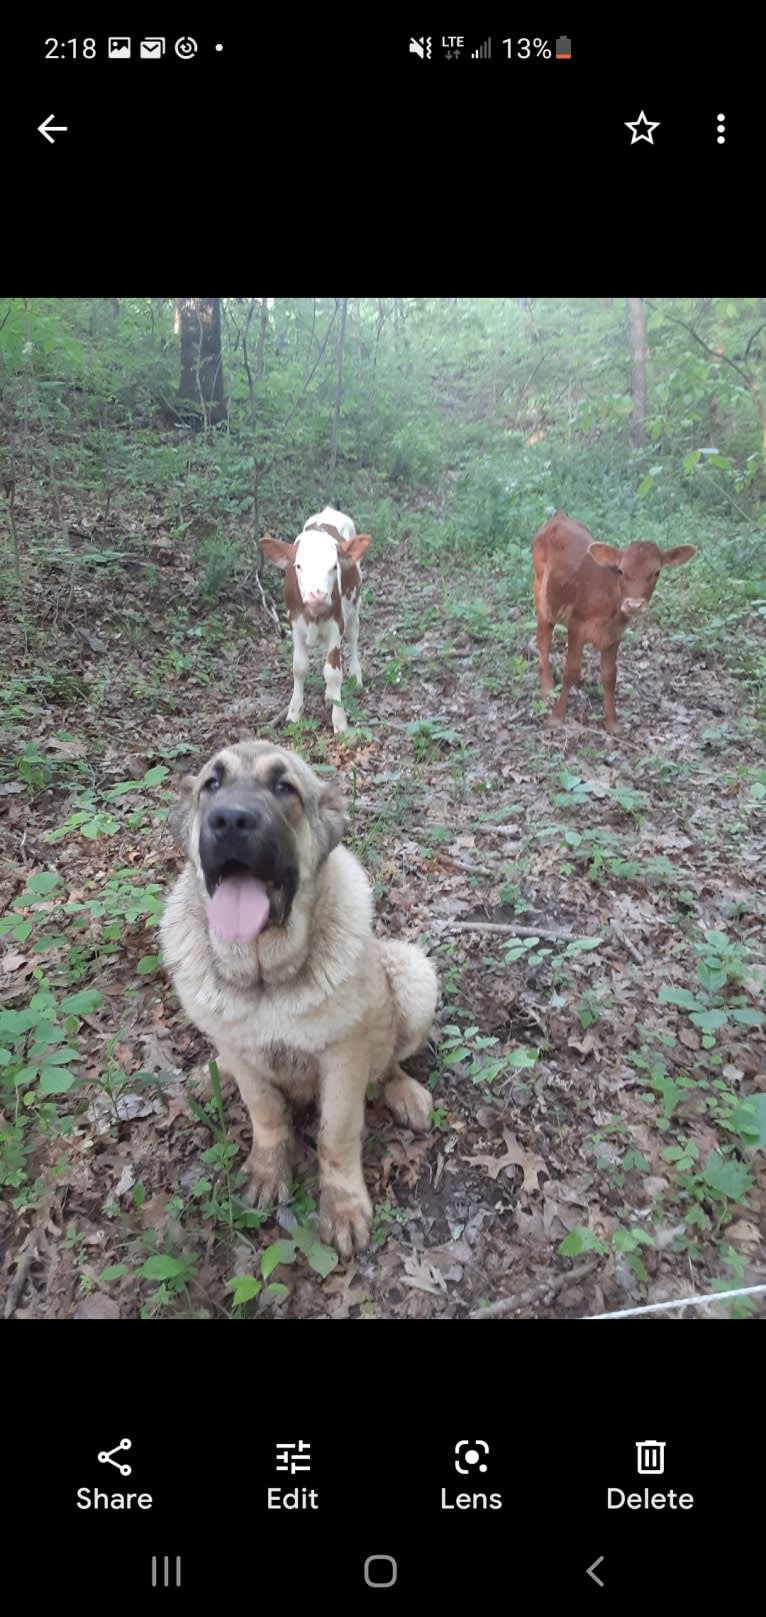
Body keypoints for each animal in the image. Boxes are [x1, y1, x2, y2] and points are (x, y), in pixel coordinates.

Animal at [161, 740, 436, 1254]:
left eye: (283, 787)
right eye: (212, 784)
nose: (230, 820)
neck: (267, 979)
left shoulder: (343, 1059)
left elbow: (336, 1134)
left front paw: (342, 1205)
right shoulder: (248, 1059)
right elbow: (266, 1115)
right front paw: (270, 1171)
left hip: (413, 974)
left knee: (390, 1060)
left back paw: (404, 1091)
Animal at [260, 507, 371, 737]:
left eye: (334, 566)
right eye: (298, 566)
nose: (317, 596)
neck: (314, 614)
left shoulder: (336, 625)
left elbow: (333, 673)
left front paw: (339, 721)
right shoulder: (296, 626)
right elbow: (299, 667)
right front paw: (294, 712)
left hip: (354, 603)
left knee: (353, 636)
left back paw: (355, 677)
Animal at [533, 510, 694, 734]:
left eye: (657, 572)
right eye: (621, 571)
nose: (634, 604)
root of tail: (558, 515)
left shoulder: (615, 634)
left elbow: (610, 677)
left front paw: (612, 722)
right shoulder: (576, 626)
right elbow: (571, 671)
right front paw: (556, 717)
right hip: (540, 592)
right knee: (543, 637)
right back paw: (547, 686)